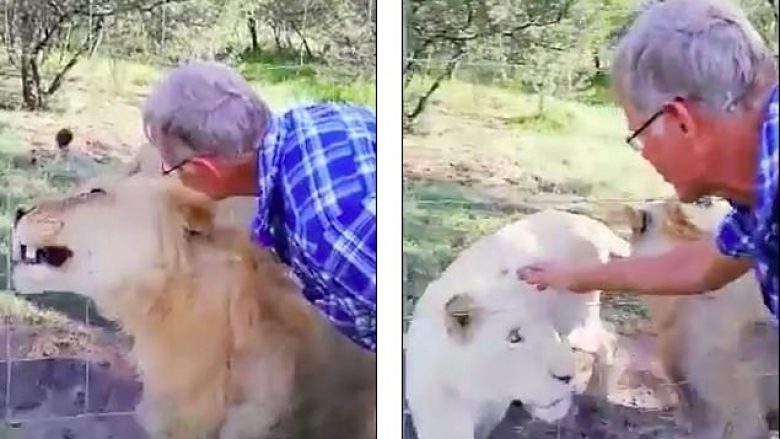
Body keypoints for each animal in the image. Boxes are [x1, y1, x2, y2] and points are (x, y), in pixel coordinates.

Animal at [406, 210, 632, 439]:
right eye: (514, 337)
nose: (567, 377)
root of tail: (590, 223)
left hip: (577, 322)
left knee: (609, 339)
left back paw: (595, 397)